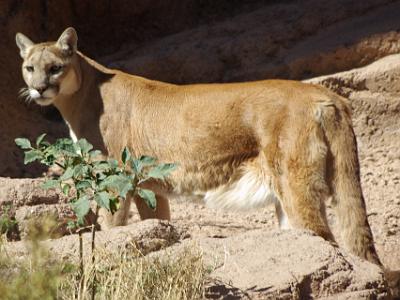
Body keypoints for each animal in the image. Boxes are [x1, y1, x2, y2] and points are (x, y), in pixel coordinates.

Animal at [15, 27, 382, 264]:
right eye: (29, 68)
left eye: (55, 68)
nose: (39, 88)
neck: (80, 95)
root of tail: (327, 95)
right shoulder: (146, 184)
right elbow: (156, 221)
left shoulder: (115, 178)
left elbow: (111, 226)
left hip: (295, 183)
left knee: (322, 236)